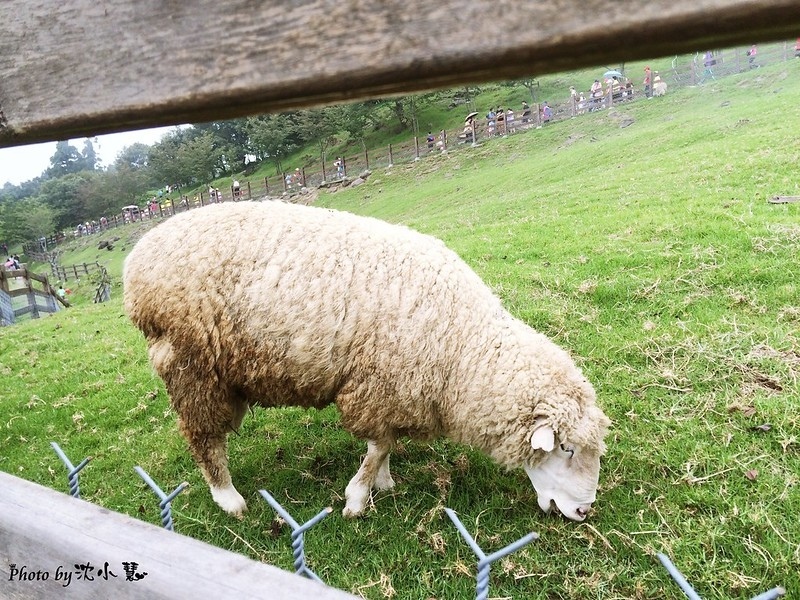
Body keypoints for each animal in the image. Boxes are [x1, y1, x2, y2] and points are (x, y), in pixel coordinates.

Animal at [125, 200, 608, 520]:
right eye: (565, 448)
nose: (584, 511)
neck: (461, 347)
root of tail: (136, 259)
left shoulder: (393, 391)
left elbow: (386, 443)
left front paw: (383, 482)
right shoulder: (376, 384)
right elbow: (377, 447)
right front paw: (357, 499)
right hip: (191, 364)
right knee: (204, 437)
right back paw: (229, 499)